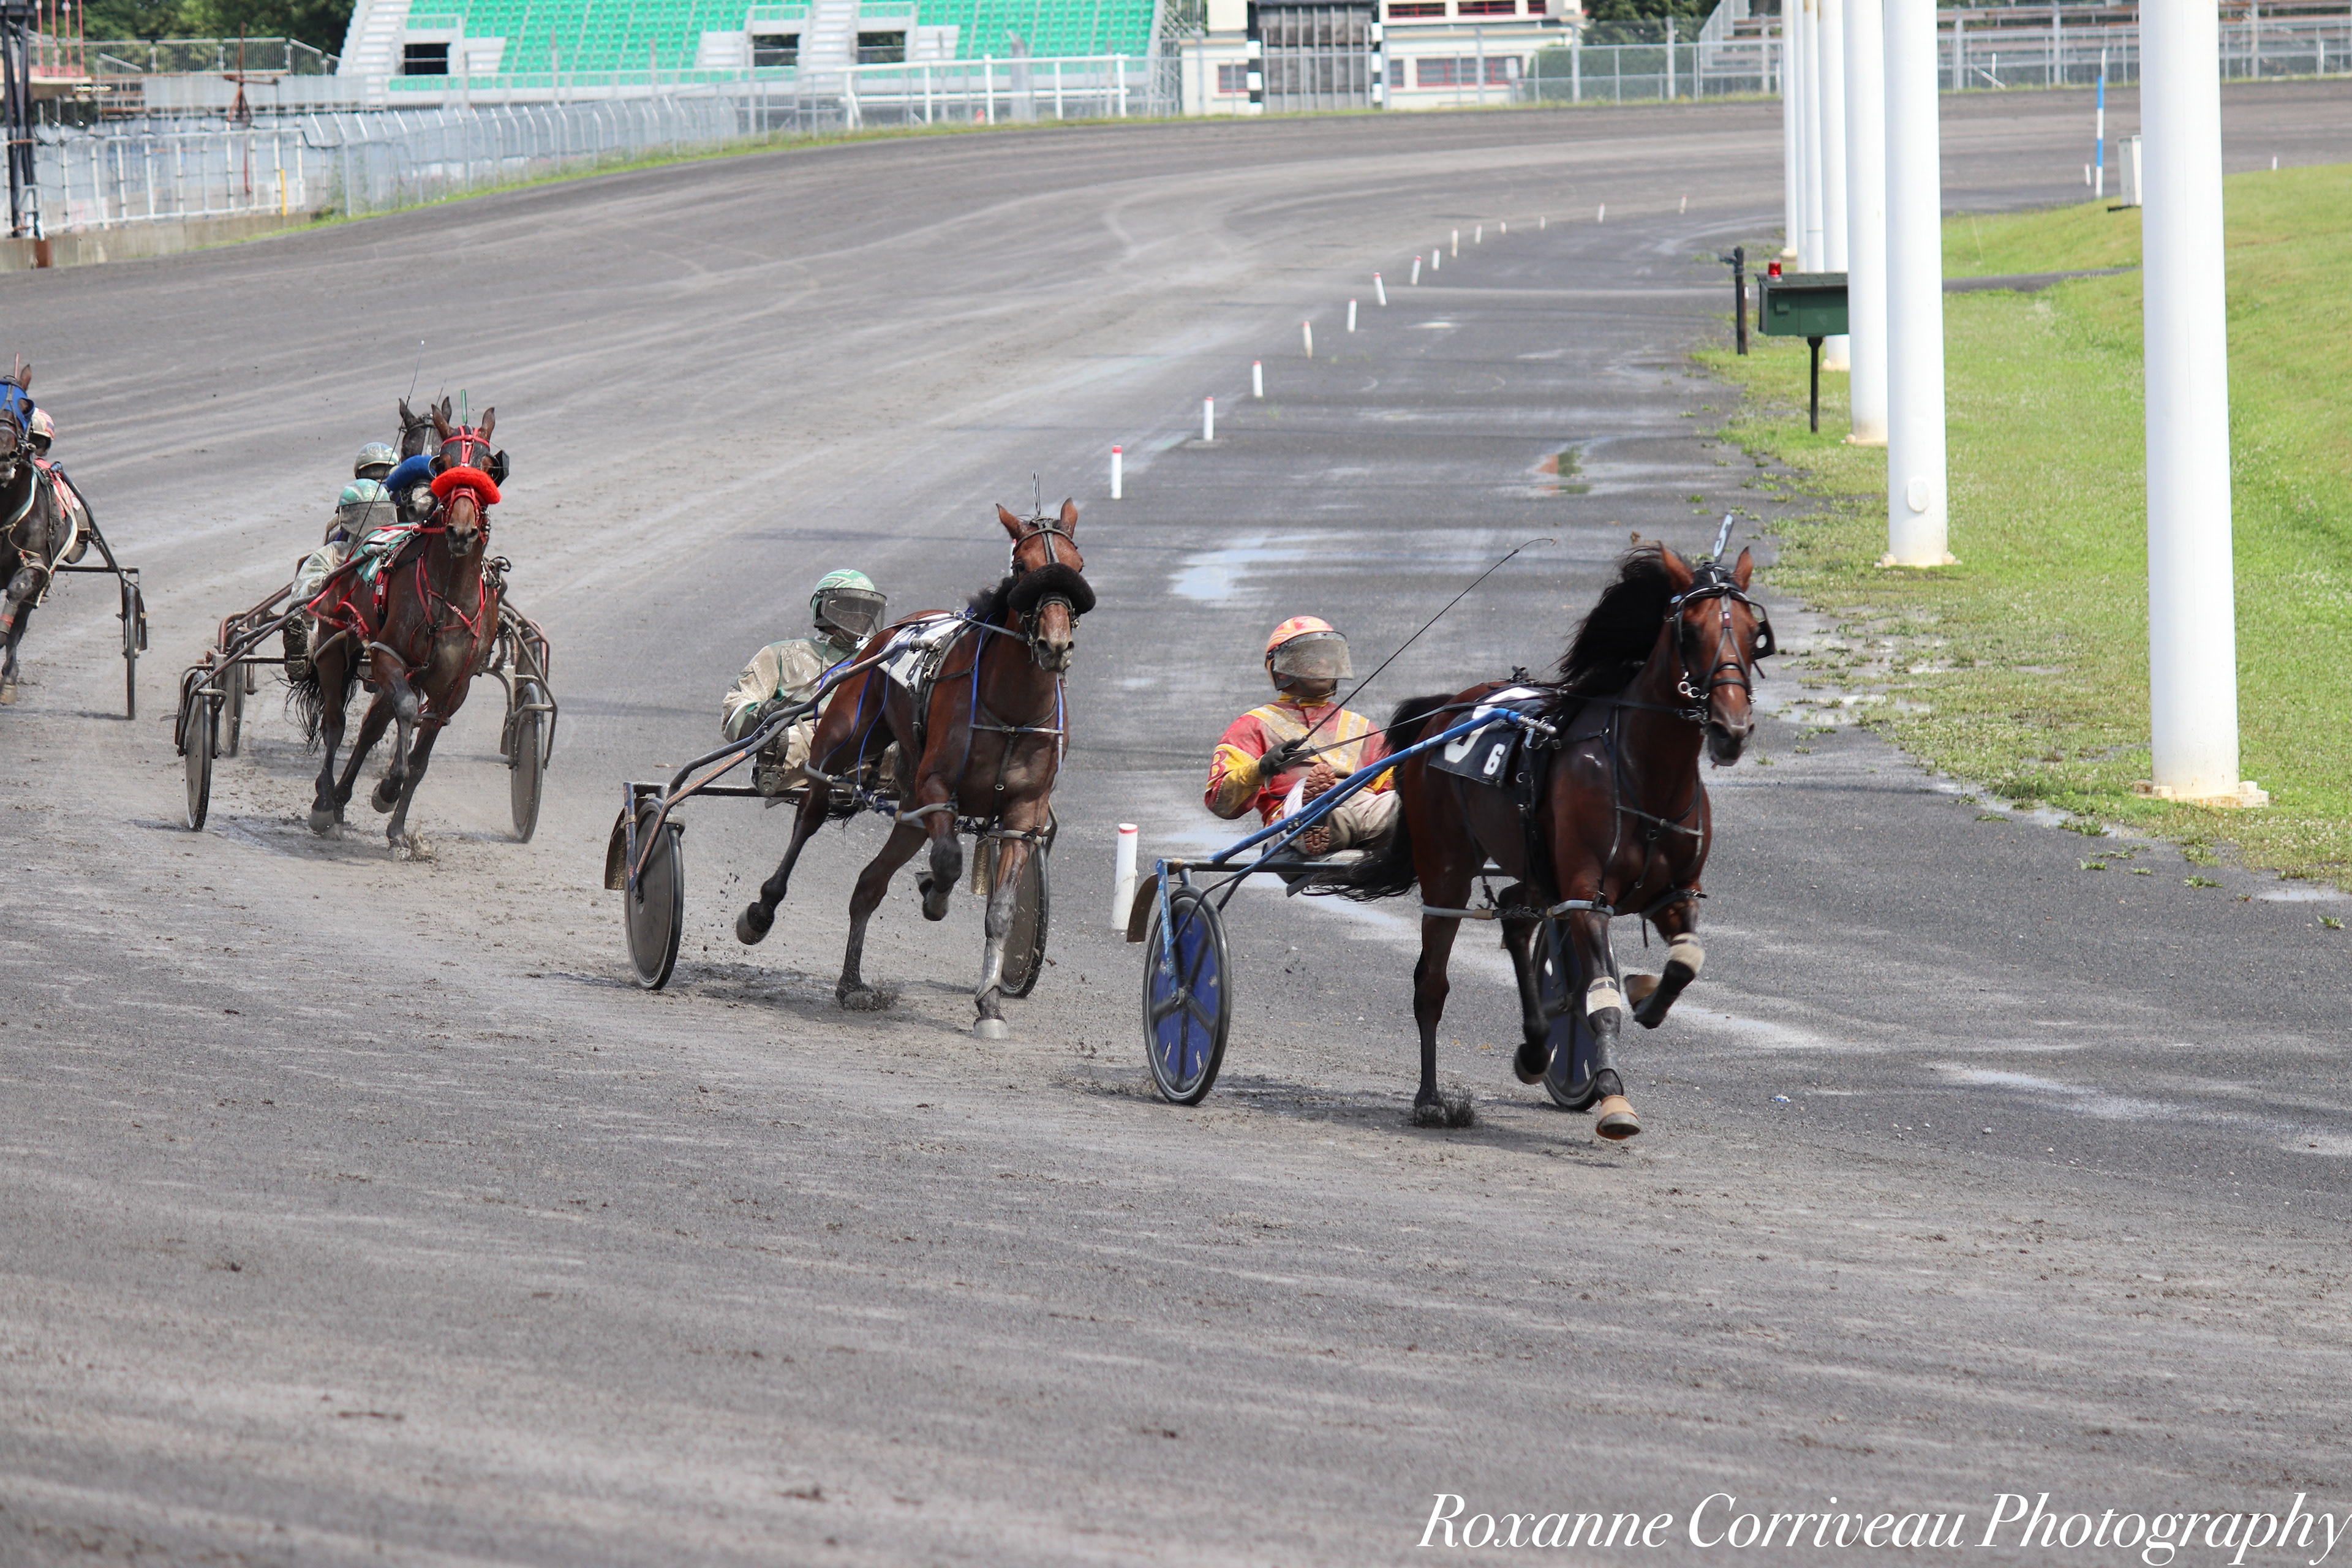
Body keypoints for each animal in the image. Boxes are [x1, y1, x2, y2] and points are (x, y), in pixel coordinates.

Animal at [291, 399, 504, 854]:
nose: (462, 531)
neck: (448, 593)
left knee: (372, 725)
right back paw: (325, 803)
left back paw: (341, 799)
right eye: (443, 464)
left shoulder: (454, 688)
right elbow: (404, 710)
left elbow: (421, 758)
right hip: (335, 645)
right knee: (336, 724)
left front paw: (398, 830)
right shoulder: (388, 658)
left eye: (488, 466)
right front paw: (387, 788)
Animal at [735, 499, 1093, 1038]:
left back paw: (851, 984)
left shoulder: (1022, 815)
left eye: (1078, 565)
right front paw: (934, 896)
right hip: (843, 743)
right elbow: (948, 862)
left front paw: (990, 1005)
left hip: (909, 808)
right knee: (809, 817)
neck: (1010, 710)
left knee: (868, 884)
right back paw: (762, 911)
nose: (1055, 645)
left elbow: (1003, 911)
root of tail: (894, 629)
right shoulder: (937, 786)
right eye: (1021, 566)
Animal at [1338, 540, 1774, 1140]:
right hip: (1447, 869)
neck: (1641, 773)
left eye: (1754, 633)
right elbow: (1600, 998)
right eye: (1690, 629)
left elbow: (1686, 960)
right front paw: (1613, 1098)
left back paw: (1536, 1046)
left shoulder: (1675, 892)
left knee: (1518, 917)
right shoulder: (1586, 897)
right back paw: (1430, 1099)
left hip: (1536, 865)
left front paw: (1646, 999)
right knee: (1432, 982)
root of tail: (1448, 711)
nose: (1732, 730)